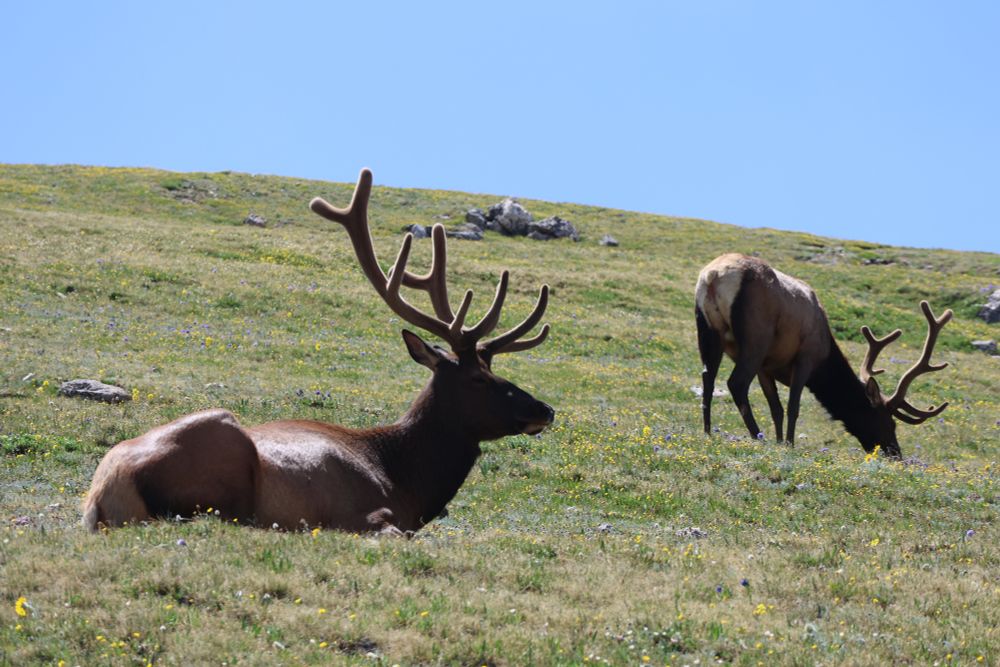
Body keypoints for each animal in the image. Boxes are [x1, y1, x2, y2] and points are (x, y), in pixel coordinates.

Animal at [82, 168, 555, 534]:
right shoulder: (364, 513)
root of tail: (102, 494)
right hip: (223, 454)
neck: (406, 482)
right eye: (480, 378)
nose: (545, 409)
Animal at [695, 253, 952, 458]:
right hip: (755, 337)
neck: (824, 358)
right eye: (889, 422)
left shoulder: (766, 368)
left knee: (708, 377)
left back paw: (707, 432)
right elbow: (792, 406)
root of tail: (713, 276)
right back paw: (757, 436)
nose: (895, 453)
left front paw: (779, 442)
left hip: (708, 331)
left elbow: (776, 409)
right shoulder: (805, 357)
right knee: (736, 383)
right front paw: (788, 445)